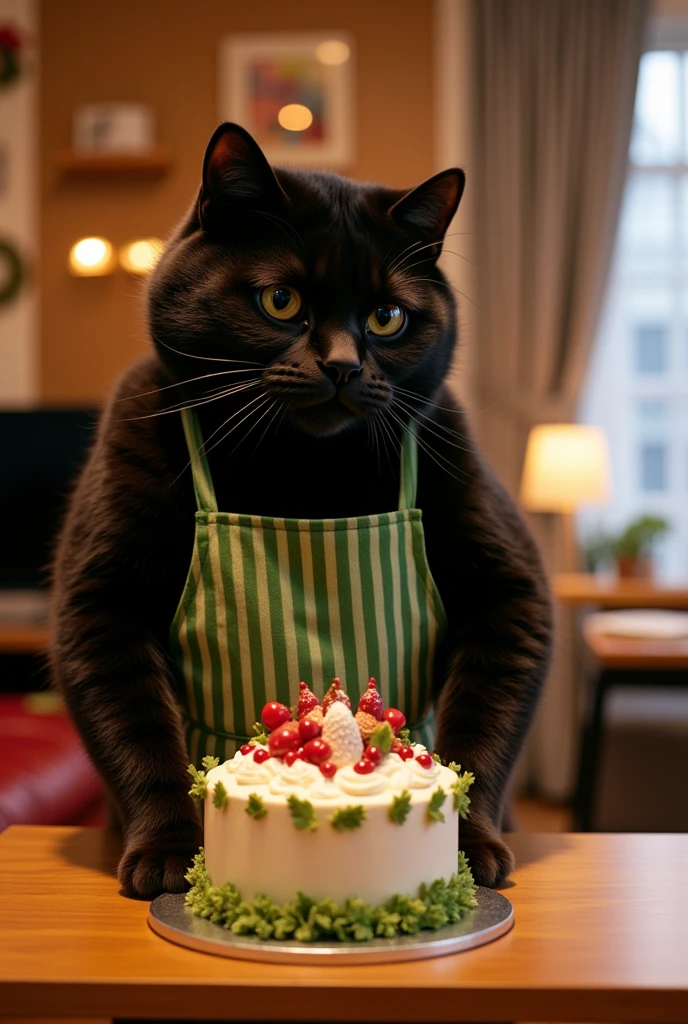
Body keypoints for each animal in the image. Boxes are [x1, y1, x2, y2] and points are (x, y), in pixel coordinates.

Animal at [49, 123, 552, 901]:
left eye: (387, 317)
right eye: (280, 301)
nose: (344, 364)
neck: (301, 469)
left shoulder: (506, 576)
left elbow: (482, 722)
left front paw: (472, 845)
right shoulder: (102, 598)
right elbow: (138, 731)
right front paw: (167, 851)